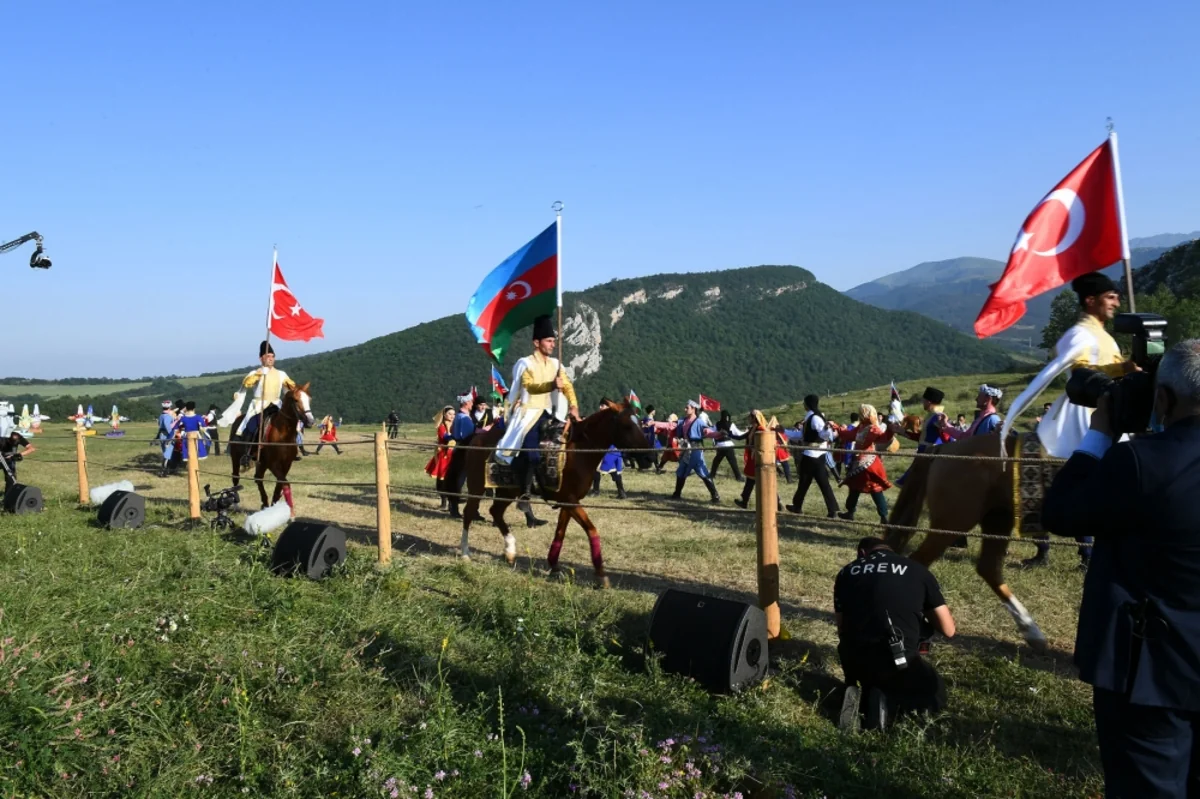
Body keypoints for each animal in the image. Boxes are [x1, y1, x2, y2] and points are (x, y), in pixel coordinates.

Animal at [228, 383, 315, 514]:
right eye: (296, 400)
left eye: (309, 399)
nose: (310, 421)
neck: (282, 435)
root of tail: (237, 420)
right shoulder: (273, 464)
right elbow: (285, 483)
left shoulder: (286, 464)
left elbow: (280, 484)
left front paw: (274, 504)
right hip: (236, 457)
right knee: (236, 476)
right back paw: (236, 505)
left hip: (262, 462)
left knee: (258, 478)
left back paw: (264, 503)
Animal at [457, 400, 648, 588]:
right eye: (627, 426)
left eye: (639, 423)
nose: (647, 456)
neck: (579, 450)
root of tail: (477, 437)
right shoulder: (570, 500)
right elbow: (592, 530)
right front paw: (600, 575)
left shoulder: (568, 501)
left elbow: (560, 533)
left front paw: (554, 566)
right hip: (477, 486)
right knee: (469, 512)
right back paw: (465, 552)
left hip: (507, 490)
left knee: (496, 512)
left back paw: (510, 551)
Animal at [883, 432, 1048, 652]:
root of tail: (945, 448)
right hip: (955, 521)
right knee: (919, 562)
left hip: (997, 517)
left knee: (989, 568)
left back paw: (1031, 631)